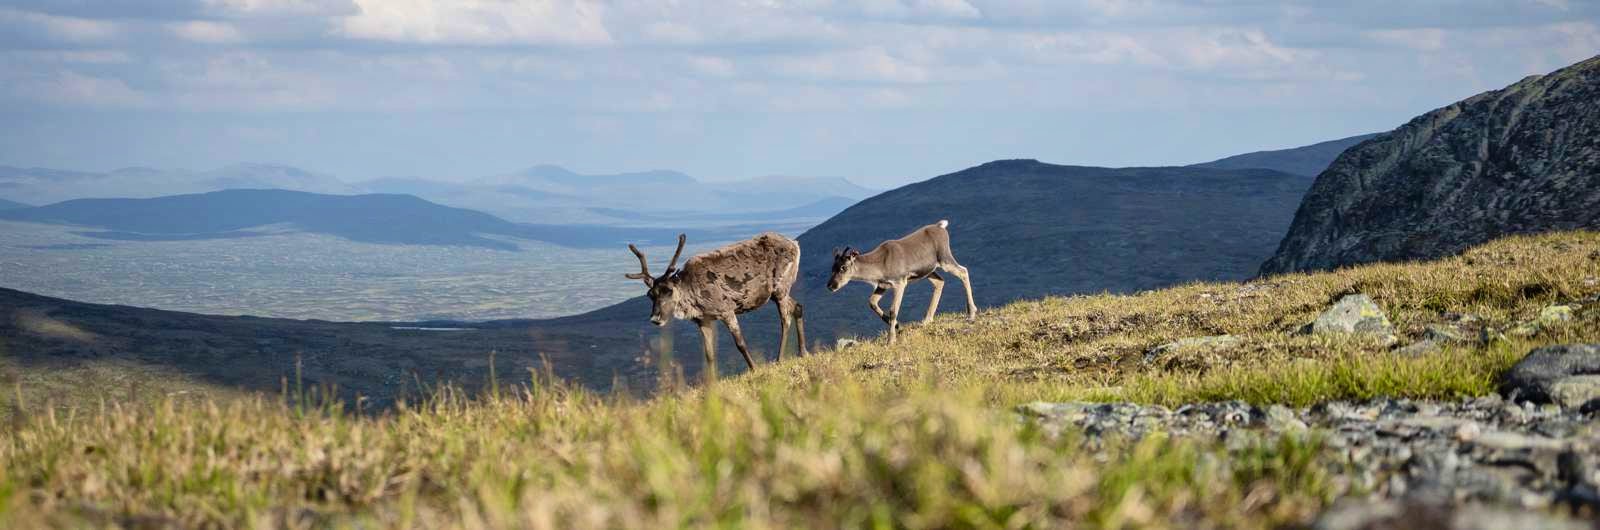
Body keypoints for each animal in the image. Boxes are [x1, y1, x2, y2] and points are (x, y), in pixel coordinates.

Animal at [620, 232, 806, 377]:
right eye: (650, 295)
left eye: (668, 290)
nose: (655, 318)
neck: (692, 295)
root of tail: (795, 244)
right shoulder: (704, 320)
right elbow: (709, 354)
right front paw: (711, 384)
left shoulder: (726, 310)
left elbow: (740, 343)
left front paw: (754, 369)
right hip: (776, 293)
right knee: (798, 307)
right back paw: (802, 352)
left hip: (780, 288)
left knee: (785, 320)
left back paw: (780, 359)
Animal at [825, 219, 972, 344]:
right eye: (832, 267)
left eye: (843, 267)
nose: (831, 285)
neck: (880, 266)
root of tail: (941, 226)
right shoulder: (882, 285)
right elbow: (872, 303)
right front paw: (899, 327)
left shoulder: (899, 282)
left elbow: (893, 310)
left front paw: (891, 340)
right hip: (929, 271)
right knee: (940, 282)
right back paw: (927, 320)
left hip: (944, 258)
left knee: (963, 271)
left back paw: (971, 313)